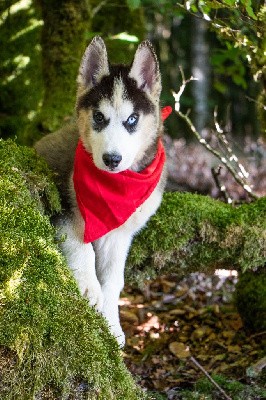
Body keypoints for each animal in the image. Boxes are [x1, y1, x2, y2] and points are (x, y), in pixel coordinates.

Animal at [34, 36, 168, 346]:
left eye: (132, 119)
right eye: (98, 117)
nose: (112, 159)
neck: (114, 188)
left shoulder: (120, 232)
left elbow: (114, 278)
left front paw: (112, 323)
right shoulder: (63, 205)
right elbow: (81, 244)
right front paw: (88, 287)